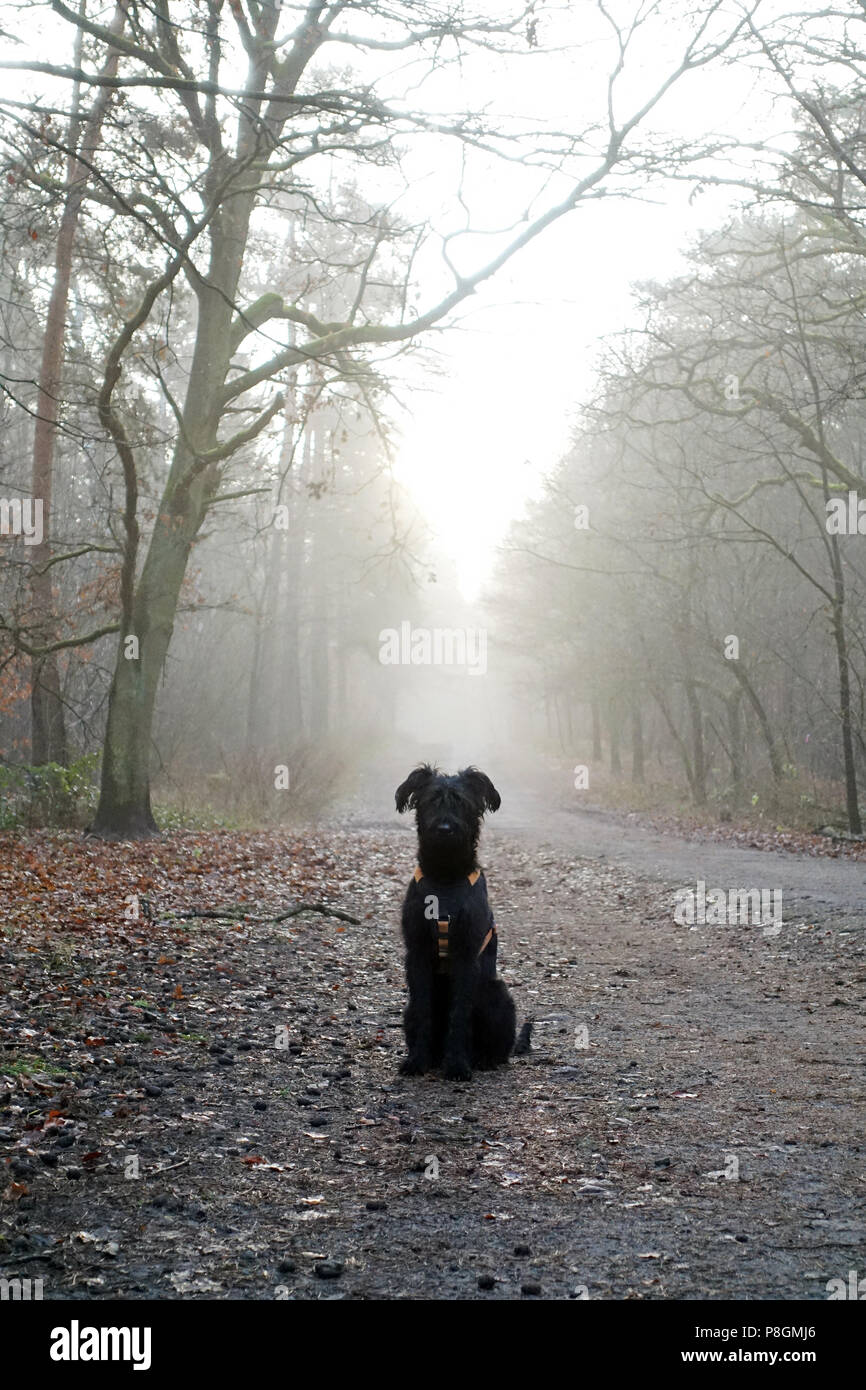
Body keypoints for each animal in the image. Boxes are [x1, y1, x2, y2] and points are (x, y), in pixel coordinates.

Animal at [397, 767, 530, 1078]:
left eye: (461, 803)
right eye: (432, 800)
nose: (445, 829)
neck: (445, 876)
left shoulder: (466, 955)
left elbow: (459, 1014)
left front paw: (457, 1064)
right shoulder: (417, 954)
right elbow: (424, 1010)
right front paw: (417, 1060)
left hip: (496, 994)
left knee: (498, 1048)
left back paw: (482, 1059)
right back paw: (433, 1057)